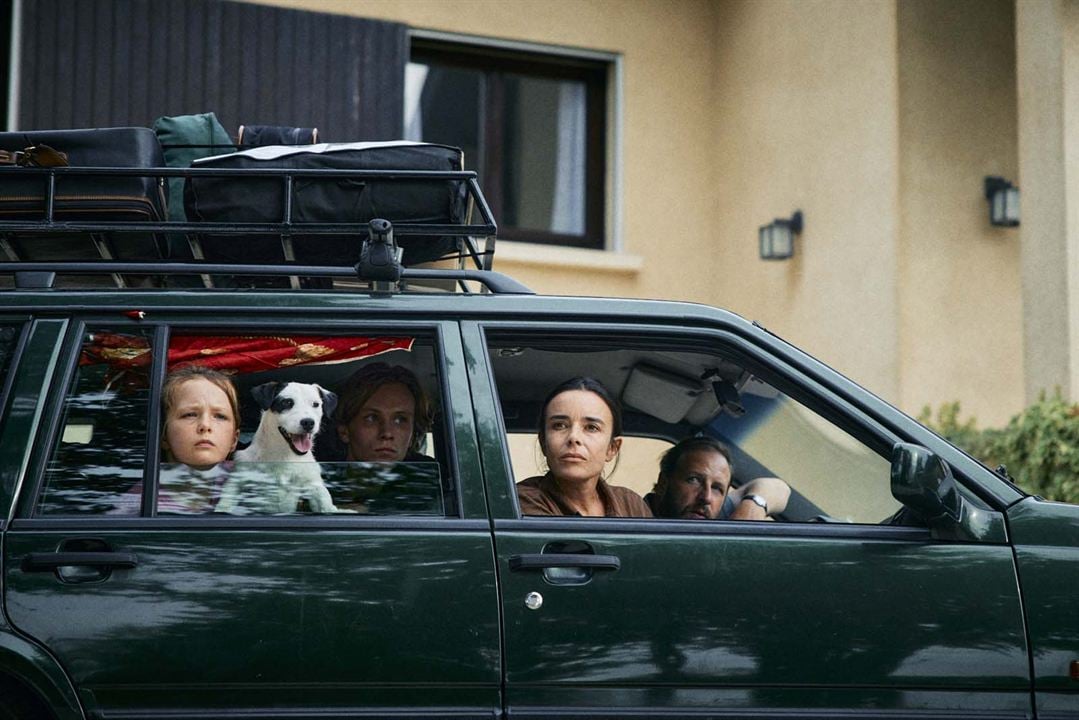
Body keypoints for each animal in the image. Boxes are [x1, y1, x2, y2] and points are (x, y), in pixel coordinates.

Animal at [215, 382, 340, 511]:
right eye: (287, 402)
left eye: (316, 404)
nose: (308, 422)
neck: (285, 455)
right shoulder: (239, 478)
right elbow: (227, 499)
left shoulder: (313, 482)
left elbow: (324, 500)